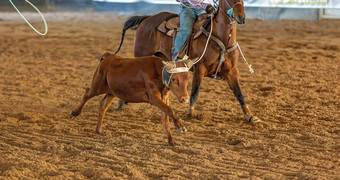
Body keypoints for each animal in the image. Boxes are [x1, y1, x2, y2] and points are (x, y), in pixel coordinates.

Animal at [115, 0, 262, 124]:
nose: (241, 17)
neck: (221, 39)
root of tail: (147, 18)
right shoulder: (199, 68)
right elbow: (195, 93)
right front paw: (190, 114)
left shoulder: (231, 71)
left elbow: (239, 94)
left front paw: (251, 116)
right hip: (141, 54)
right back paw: (122, 102)